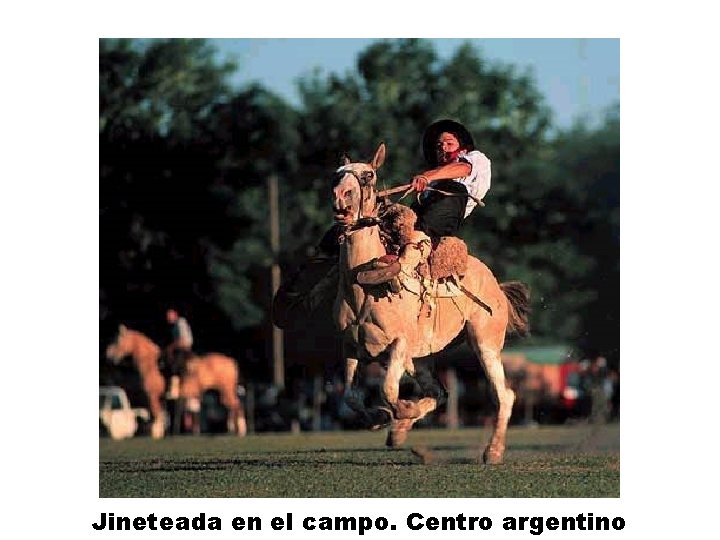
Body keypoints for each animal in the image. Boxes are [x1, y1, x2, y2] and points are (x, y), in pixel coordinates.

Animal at [102, 324, 246, 438]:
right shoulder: (162, 398)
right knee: (234, 407)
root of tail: (231, 361)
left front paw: (155, 433)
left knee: (236, 406)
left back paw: (239, 430)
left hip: (225, 391)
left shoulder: (152, 395)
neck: (151, 364)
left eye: (117, 340)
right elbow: (162, 414)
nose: (108, 356)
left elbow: (156, 413)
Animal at [332, 143, 528, 464]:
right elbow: (349, 396)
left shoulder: (399, 344)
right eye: (338, 174)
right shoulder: (351, 347)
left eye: (368, 175)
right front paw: (380, 418)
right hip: (423, 358)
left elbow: (388, 389)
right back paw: (400, 432)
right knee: (440, 393)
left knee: (503, 396)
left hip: (484, 342)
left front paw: (400, 410)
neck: (363, 288)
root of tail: (497, 287)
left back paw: (492, 452)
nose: (341, 197)